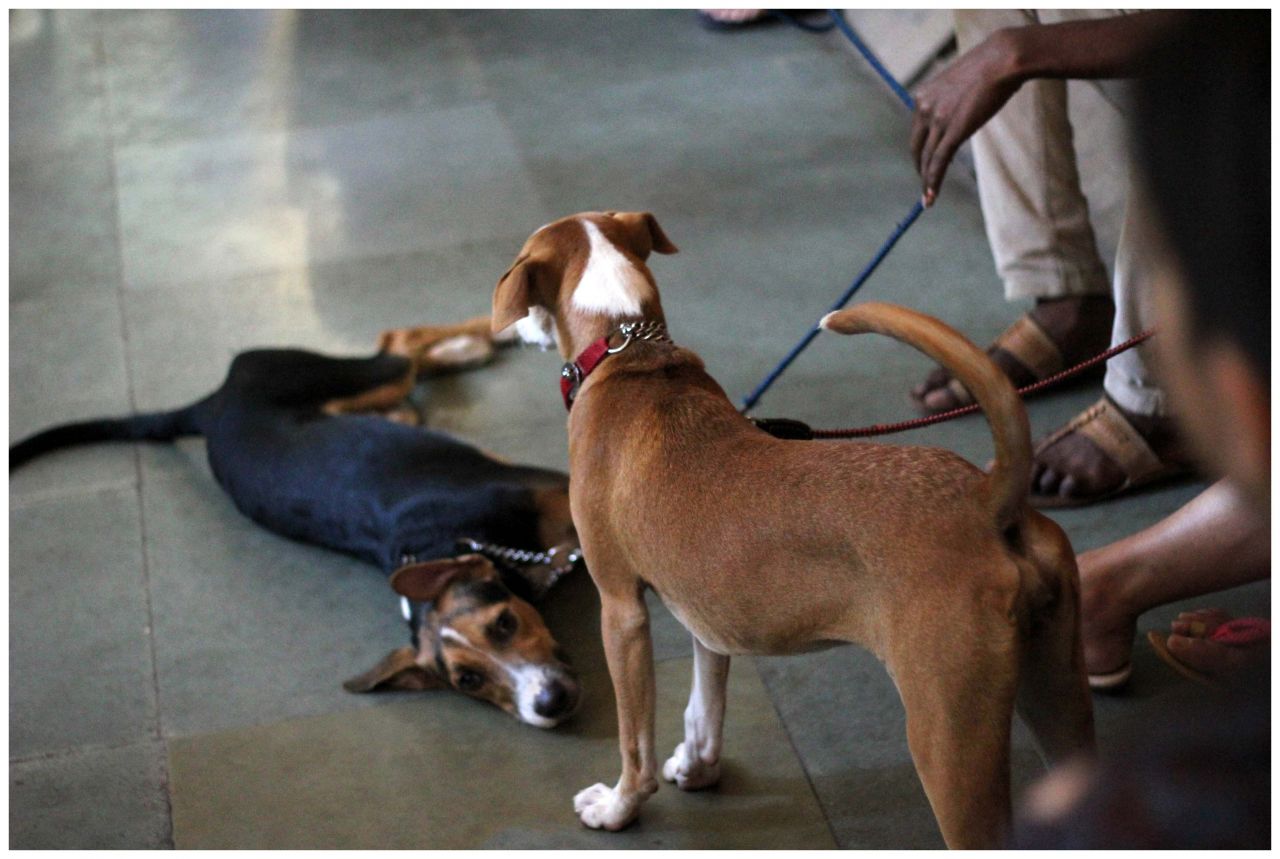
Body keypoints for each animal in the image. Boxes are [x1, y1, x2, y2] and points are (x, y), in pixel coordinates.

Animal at [12, 321, 583, 727]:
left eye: (504, 624)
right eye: (469, 680)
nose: (549, 702)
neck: (446, 543)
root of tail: (212, 405)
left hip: (341, 375)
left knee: (397, 343)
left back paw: (496, 333)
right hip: (374, 395)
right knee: (401, 352)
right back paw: (467, 348)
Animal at [486, 209, 1090, 844]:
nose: (511, 334)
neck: (629, 352)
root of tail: (985, 499)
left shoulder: (621, 610)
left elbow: (636, 741)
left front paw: (618, 806)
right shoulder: (705, 615)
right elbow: (703, 703)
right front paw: (698, 767)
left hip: (949, 740)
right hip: (1058, 696)